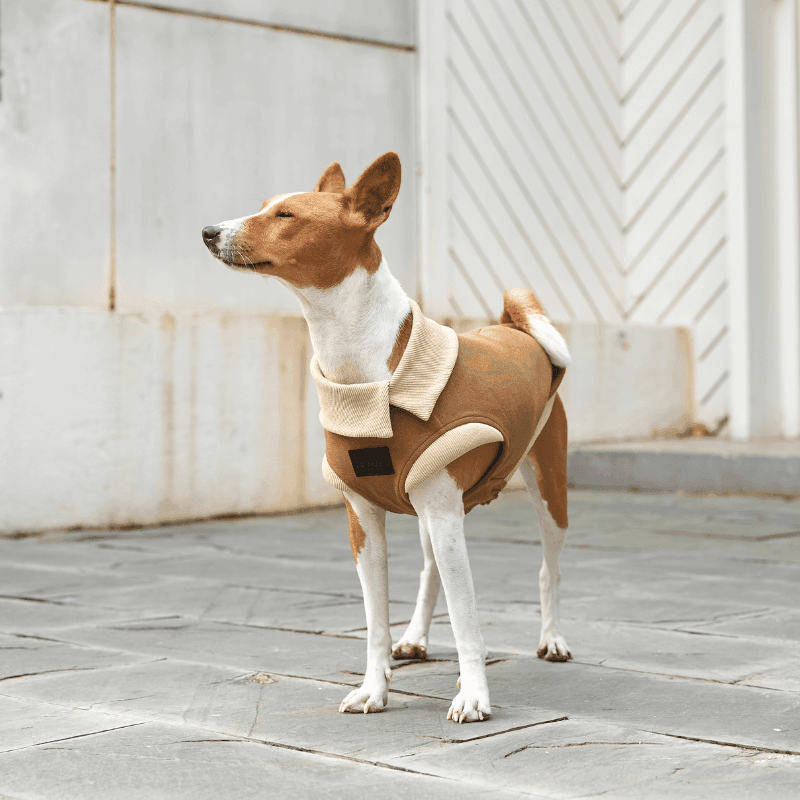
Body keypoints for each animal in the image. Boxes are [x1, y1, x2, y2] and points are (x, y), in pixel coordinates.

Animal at [203, 153, 572, 720]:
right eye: (264, 206)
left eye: (286, 215)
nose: (208, 231)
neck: (364, 377)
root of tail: (512, 325)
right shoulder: (367, 520)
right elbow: (375, 622)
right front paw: (374, 689)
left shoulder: (443, 513)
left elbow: (467, 621)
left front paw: (473, 695)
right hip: (434, 513)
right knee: (430, 572)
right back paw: (416, 637)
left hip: (546, 492)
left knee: (546, 570)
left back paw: (550, 640)